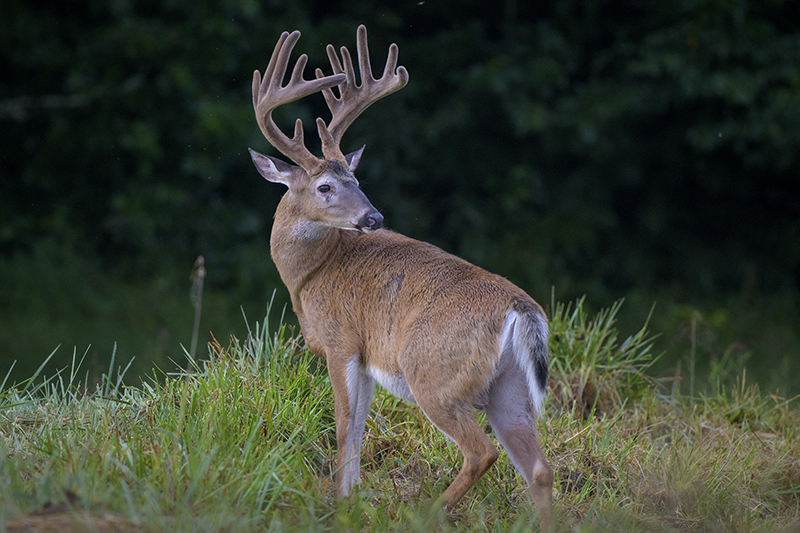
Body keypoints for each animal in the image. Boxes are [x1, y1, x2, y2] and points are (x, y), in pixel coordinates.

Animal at [247, 25, 552, 528]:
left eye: (355, 179)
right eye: (326, 185)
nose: (374, 217)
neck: (309, 276)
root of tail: (521, 312)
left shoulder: (341, 340)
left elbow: (344, 426)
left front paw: (339, 504)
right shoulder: (367, 355)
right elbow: (358, 427)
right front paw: (351, 498)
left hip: (433, 372)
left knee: (481, 452)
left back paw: (427, 513)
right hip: (510, 388)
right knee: (539, 469)